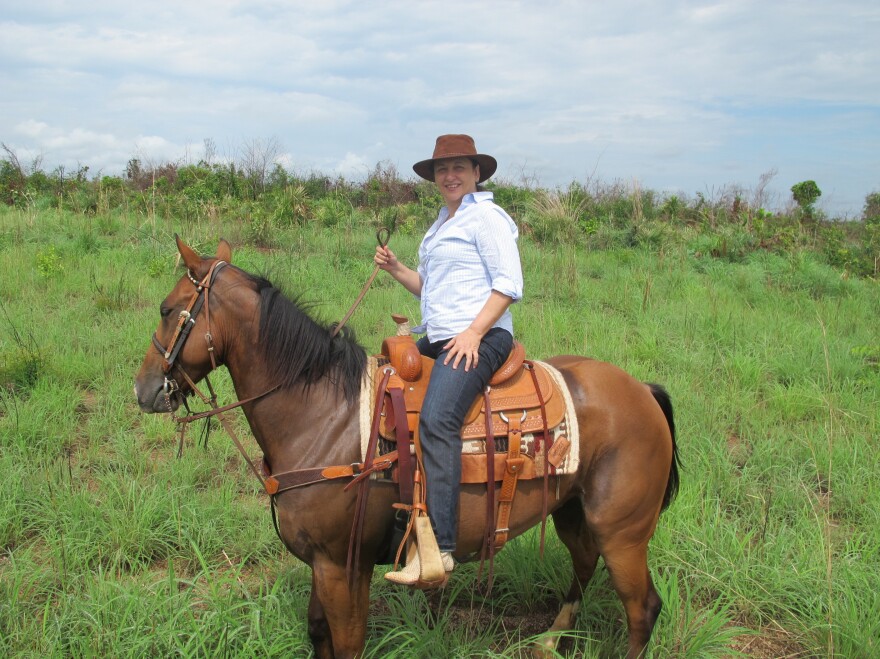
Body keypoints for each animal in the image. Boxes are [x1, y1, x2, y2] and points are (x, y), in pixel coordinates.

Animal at [134, 238, 680, 659]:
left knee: (642, 609)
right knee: (585, 564)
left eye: (166, 310)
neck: (321, 414)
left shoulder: (342, 566)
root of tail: (642, 390)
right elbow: (318, 634)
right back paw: (549, 639)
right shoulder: (324, 564)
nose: (144, 389)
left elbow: (346, 644)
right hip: (572, 510)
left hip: (623, 534)